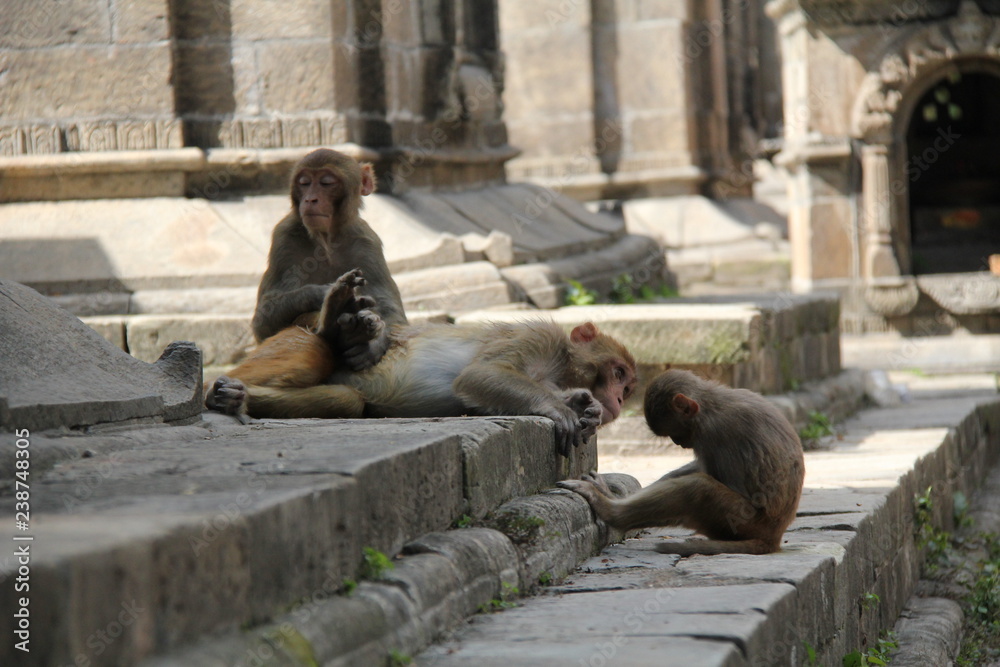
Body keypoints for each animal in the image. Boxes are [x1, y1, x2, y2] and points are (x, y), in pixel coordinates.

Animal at [207, 280, 638, 456]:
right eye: (618, 374)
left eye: (628, 388)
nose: (618, 399)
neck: (560, 367)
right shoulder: (537, 337)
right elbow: (480, 376)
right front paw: (560, 408)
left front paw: (585, 406)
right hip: (291, 340)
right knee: (314, 355)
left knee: (345, 400)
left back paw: (239, 398)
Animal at [252, 148, 407, 371]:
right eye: (305, 183)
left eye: (326, 182)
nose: (310, 199)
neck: (326, 241)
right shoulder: (284, 238)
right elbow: (263, 321)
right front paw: (324, 293)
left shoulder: (368, 244)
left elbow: (393, 314)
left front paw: (373, 345)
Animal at [558, 369, 804, 555]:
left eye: (676, 432)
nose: (677, 442)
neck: (711, 404)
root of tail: (773, 536)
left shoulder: (714, 432)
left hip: (746, 523)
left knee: (697, 488)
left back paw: (609, 510)